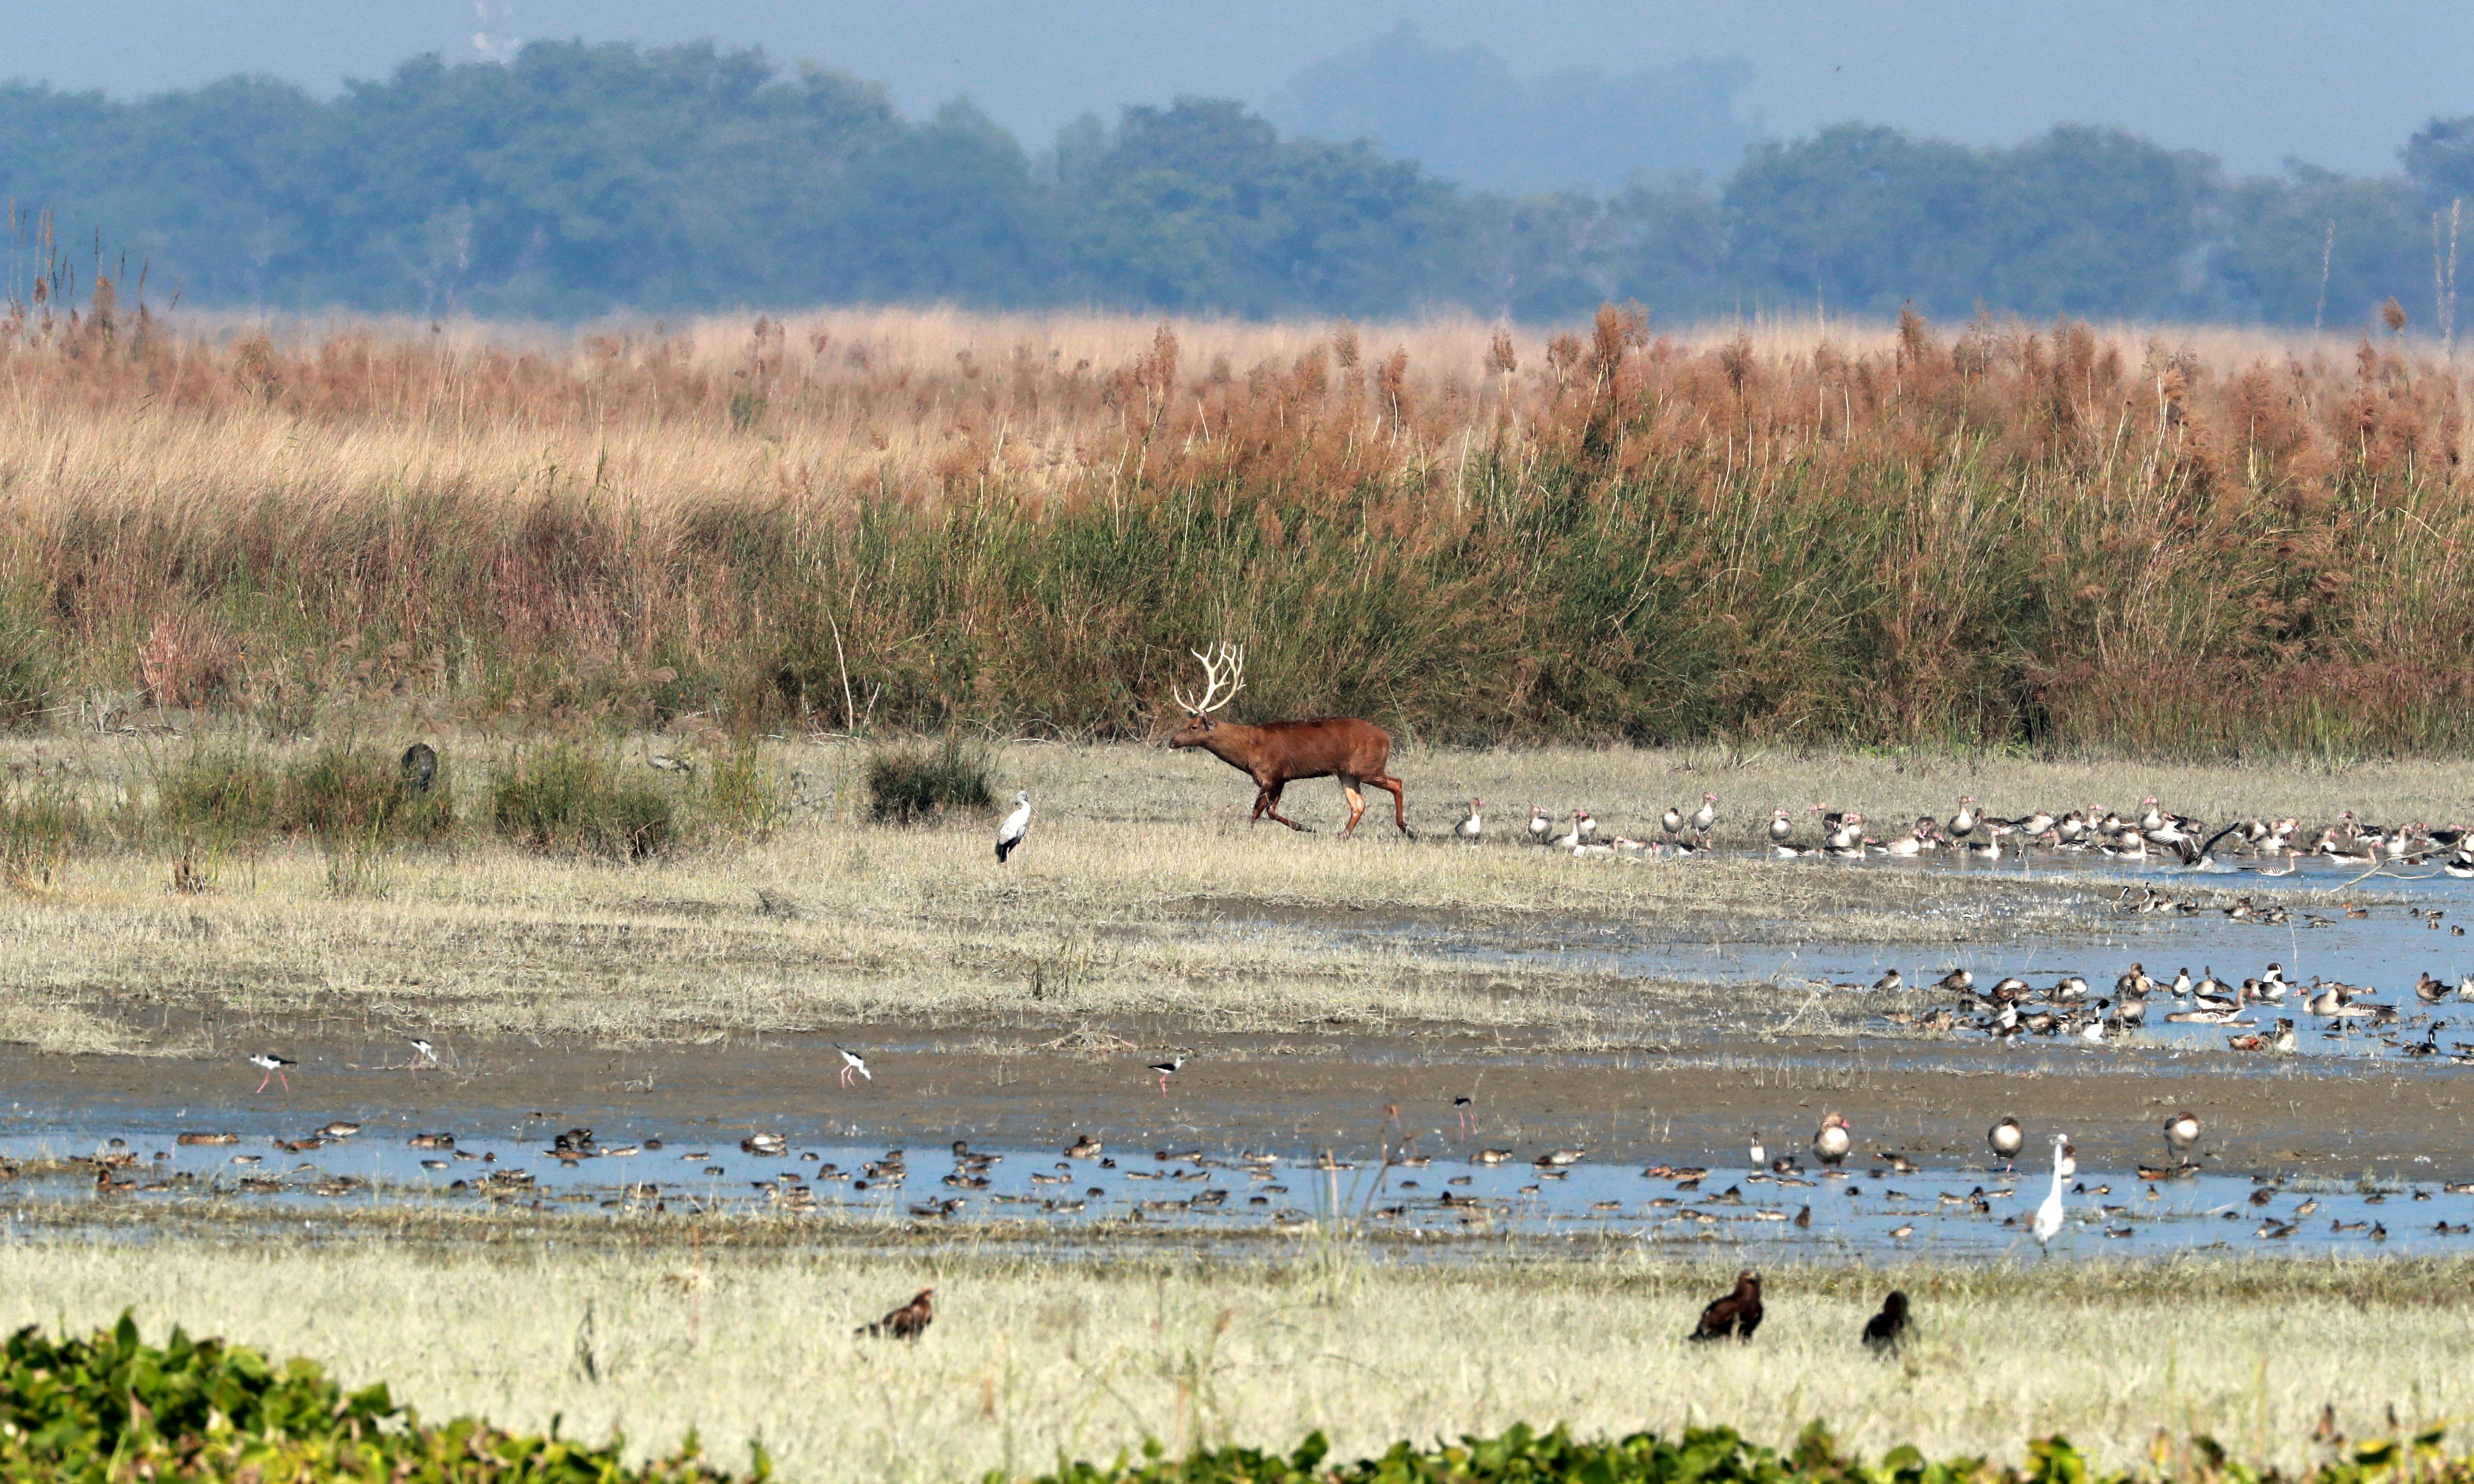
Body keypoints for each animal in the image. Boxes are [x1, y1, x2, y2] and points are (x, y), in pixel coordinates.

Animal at [1163, 643, 1415, 841]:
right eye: (1187, 723)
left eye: (1194, 727)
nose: (1172, 742)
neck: (1248, 750)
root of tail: (1386, 738)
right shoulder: (1282, 777)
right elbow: (1271, 811)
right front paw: (1306, 827)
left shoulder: (1271, 774)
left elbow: (1257, 811)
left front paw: (1248, 833)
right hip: (1347, 772)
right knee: (1358, 805)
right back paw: (1343, 835)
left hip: (1368, 766)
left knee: (1397, 783)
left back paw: (1407, 829)